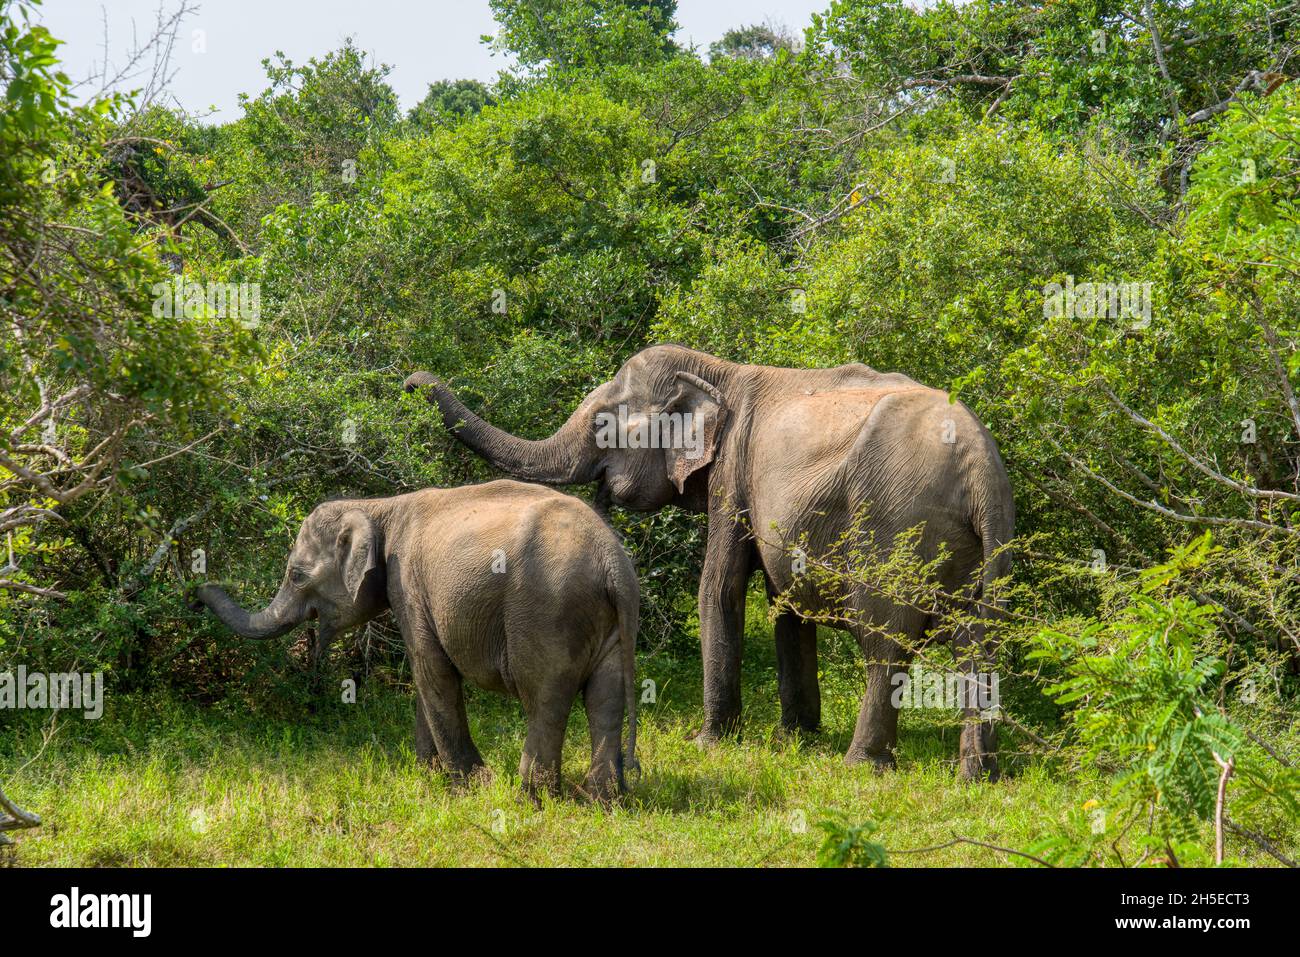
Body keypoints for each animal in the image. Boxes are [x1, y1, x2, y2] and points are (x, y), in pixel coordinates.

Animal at [194, 480, 639, 799]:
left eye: (297, 575)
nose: (196, 593)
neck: (379, 507)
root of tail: (611, 560)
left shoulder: (407, 582)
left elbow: (431, 670)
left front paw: (470, 786)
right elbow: (427, 681)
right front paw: (429, 774)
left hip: (545, 611)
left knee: (544, 696)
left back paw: (530, 797)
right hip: (608, 622)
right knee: (606, 696)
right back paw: (601, 799)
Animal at [404, 344, 1014, 780]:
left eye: (605, 422)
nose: (409, 383)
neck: (720, 370)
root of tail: (981, 466)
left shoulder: (732, 473)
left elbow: (719, 587)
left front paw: (708, 742)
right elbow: (785, 605)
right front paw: (795, 739)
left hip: (893, 528)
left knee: (884, 642)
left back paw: (862, 765)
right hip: (988, 548)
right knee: (979, 642)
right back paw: (976, 776)